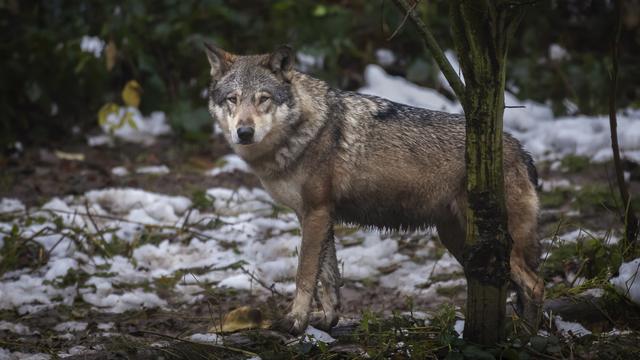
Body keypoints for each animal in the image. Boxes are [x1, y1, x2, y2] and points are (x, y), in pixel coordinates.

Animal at [205, 43, 544, 334]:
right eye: (233, 99)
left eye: (263, 98)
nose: (244, 132)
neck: (302, 133)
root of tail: (520, 149)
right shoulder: (315, 215)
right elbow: (328, 278)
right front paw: (327, 320)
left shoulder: (316, 213)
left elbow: (304, 275)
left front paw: (295, 322)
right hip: (461, 242)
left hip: (491, 244)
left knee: (535, 285)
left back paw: (528, 338)